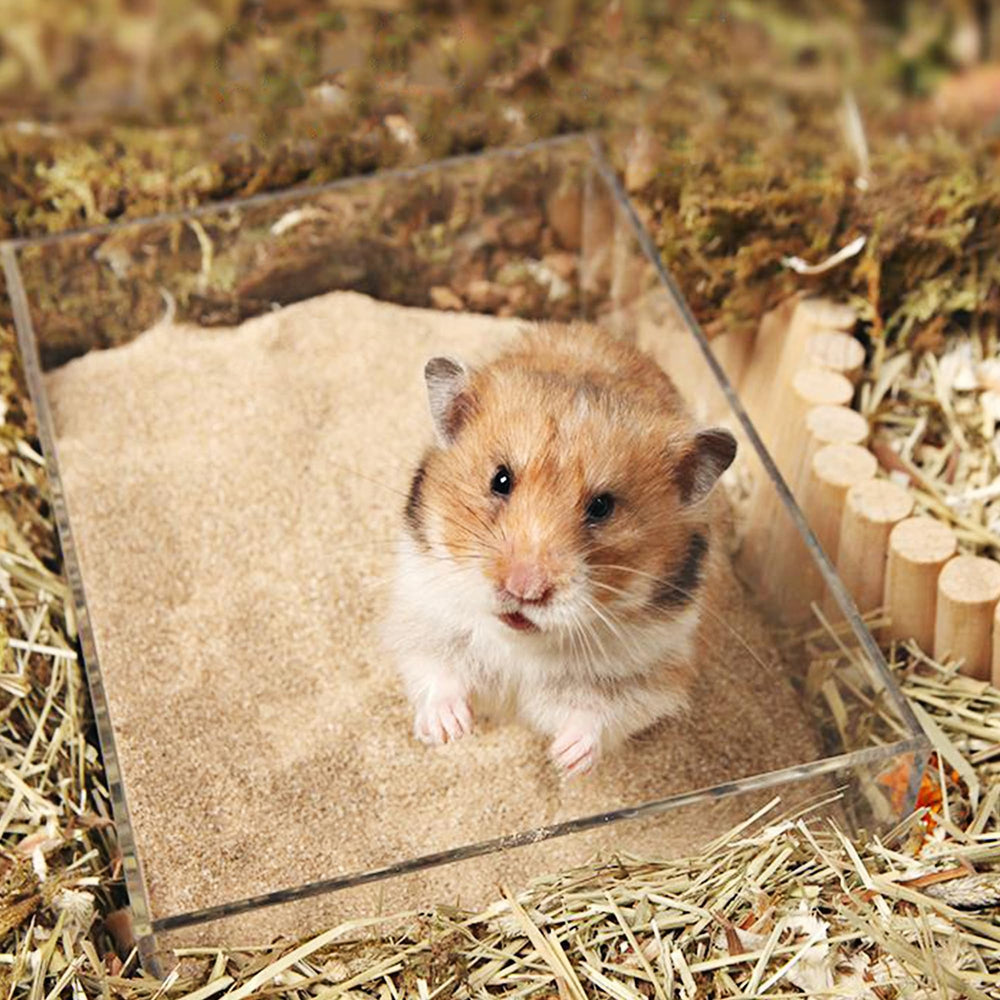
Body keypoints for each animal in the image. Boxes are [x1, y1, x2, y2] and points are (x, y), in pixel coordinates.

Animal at [384, 322, 736, 776]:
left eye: (602, 506)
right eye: (500, 479)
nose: (524, 590)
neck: (519, 640)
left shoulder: (648, 672)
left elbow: (598, 716)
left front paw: (564, 759)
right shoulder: (425, 616)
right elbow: (437, 672)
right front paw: (449, 732)